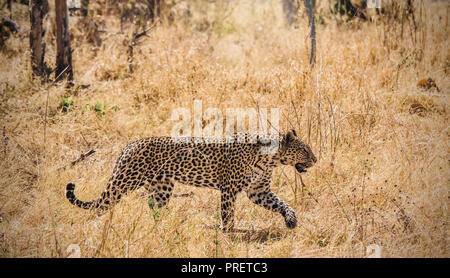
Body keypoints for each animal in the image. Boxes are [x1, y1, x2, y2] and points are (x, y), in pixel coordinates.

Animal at [66, 129, 316, 231]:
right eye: (305, 149)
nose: (315, 159)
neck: (270, 159)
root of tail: (129, 145)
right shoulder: (229, 189)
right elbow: (228, 213)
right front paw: (228, 233)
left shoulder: (259, 191)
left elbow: (282, 204)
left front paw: (291, 220)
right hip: (125, 181)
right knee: (101, 205)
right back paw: (95, 226)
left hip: (162, 188)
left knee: (153, 207)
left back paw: (161, 226)